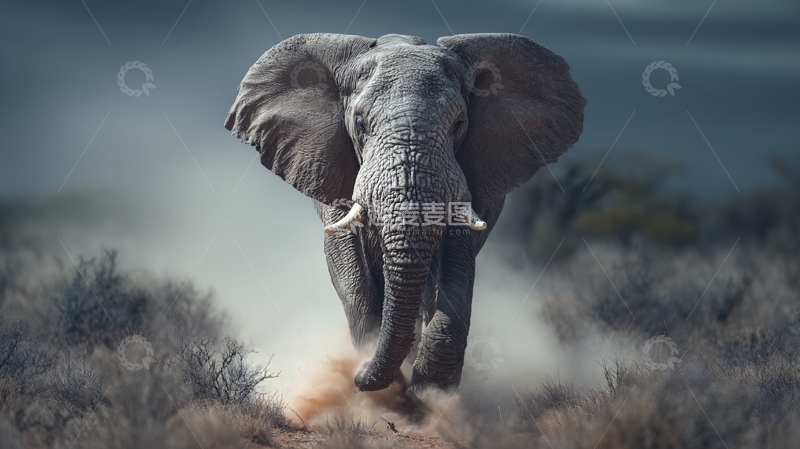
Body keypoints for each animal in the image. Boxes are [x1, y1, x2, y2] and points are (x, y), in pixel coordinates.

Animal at [225, 33, 585, 395]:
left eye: (459, 123)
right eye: (360, 124)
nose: (356, 377)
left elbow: (455, 262)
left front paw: (430, 393)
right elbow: (346, 258)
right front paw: (384, 380)